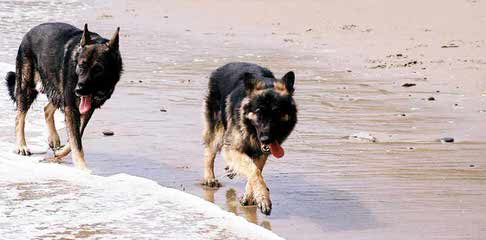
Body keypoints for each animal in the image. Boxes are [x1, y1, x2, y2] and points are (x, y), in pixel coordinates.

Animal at [4, 22, 122, 172]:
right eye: (81, 66)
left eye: (98, 69)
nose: (78, 90)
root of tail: (29, 32)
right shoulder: (71, 107)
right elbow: (76, 140)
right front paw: (82, 168)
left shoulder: (85, 110)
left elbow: (76, 137)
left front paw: (61, 153)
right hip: (27, 88)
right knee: (20, 116)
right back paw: (21, 146)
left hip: (58, 90)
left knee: (46, 109)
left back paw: (53, 139)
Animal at [201, 62, 296, 216]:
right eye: (258, 112)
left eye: (276, 113)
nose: (266, 139)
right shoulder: (232, 147)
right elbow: (254, 171)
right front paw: (263, 198)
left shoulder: (260, 153)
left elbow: (255, 171)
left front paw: (250, 196)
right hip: (217, 130)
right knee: (209, 151)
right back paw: (209, 178)